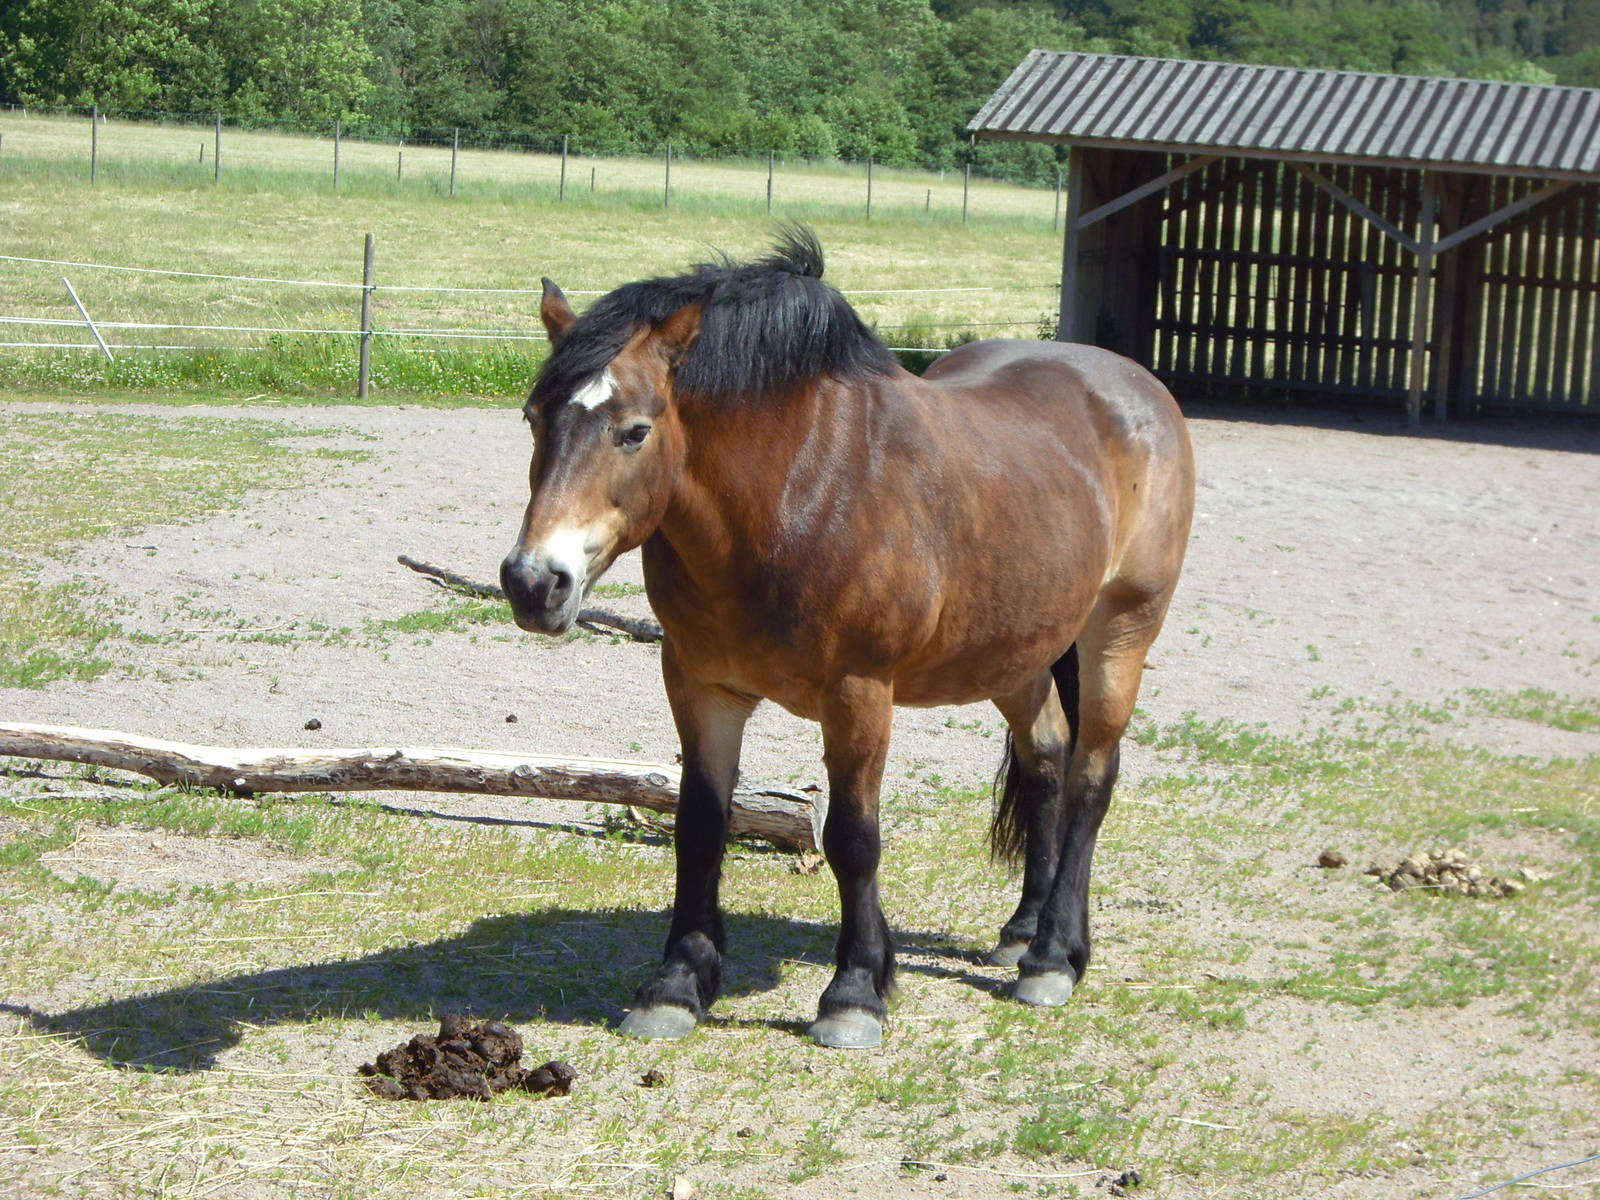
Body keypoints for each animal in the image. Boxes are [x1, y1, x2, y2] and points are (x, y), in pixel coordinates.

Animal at [501, 227, 1194, 1049]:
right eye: (534, 418)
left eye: (635, 431)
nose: (534, 582)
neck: (796, 492)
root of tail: (1134, 387)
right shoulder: (700, 684)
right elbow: (700, 825)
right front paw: (676, 984)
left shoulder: (859, 693)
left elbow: (853, 839)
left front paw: (855, 991)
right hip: (1015, 649)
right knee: (1048, 759)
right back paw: (1023, 931)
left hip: (1119, 632)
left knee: (1091, 777)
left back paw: (1054, 957)